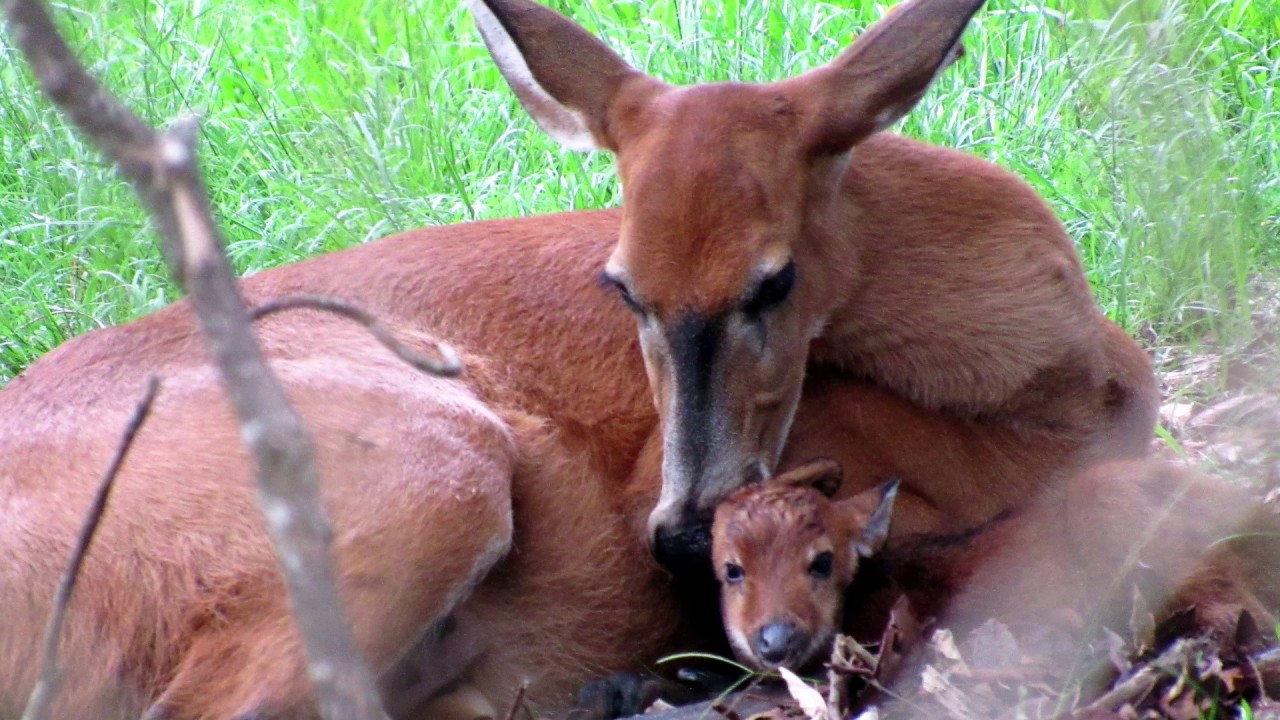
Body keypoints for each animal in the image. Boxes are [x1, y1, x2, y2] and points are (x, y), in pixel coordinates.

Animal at [711, 456, 1280, 671]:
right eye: (732, 570)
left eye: (823, 562)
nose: (775, 639)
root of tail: (1255, 515)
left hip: (1117, 502)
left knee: (1239, 620)